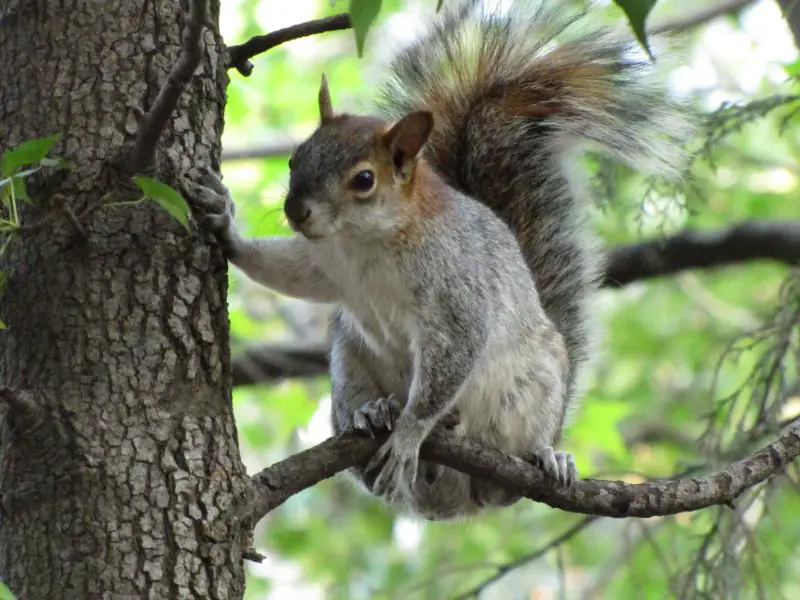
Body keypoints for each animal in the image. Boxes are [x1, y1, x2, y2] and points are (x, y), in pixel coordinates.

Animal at [192, 1, 692, 520]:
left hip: (534, 388)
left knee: (508, 480)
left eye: (364, 179)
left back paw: (545, 455)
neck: (367, 242)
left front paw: (410, 433)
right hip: (348, 363)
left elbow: (449, 362)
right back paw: (374, 411)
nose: (296, 211)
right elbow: (287, 271)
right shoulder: (328, 265)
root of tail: (452, 498)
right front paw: (223, 225)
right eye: (295, 159)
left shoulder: (455, 292)